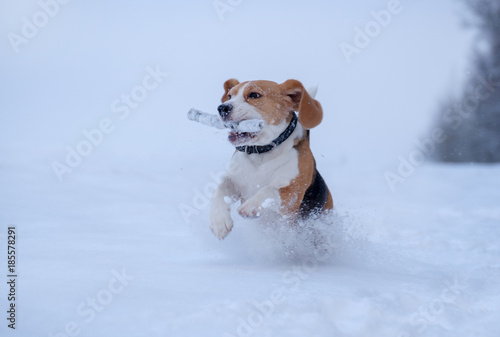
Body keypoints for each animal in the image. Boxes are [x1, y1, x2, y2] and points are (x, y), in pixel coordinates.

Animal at [210, 78, 332, 239]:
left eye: (254, 95)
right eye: (230, 96)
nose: (222, 108)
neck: (261, 154)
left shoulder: (292, 196)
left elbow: (269, 190)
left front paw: (251, 206)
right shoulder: (234, 182)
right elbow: (219, 188)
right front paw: (219, 220)